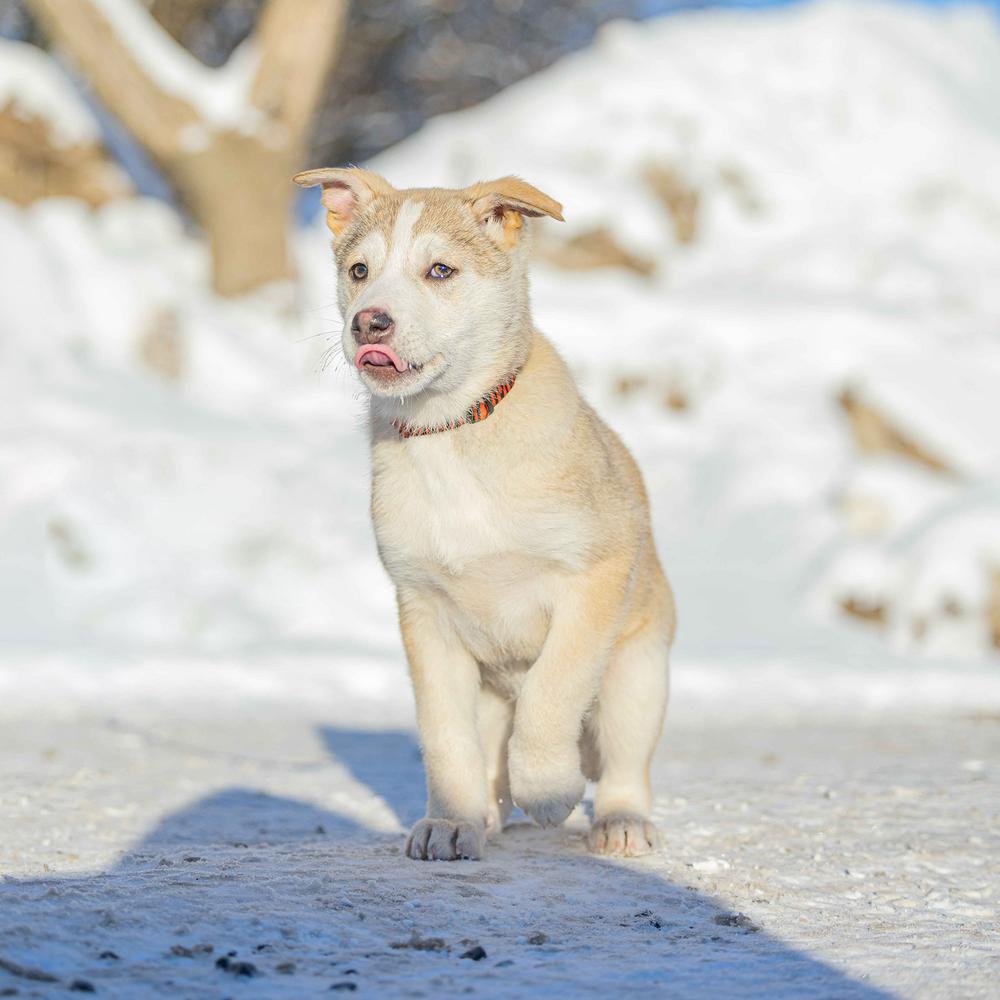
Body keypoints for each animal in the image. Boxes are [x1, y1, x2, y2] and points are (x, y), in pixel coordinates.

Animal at [292, 170, 676, 860]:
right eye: (360, 271)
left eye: (440, 270)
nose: (369, 323)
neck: (451, 433)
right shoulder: (423, 613)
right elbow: (444, 735)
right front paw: (450, 821)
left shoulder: (594, 578)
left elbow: (553, 690)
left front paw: (548, 788)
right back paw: (485, 817)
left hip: (637, 674)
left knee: (624, 764)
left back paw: (621, 822)